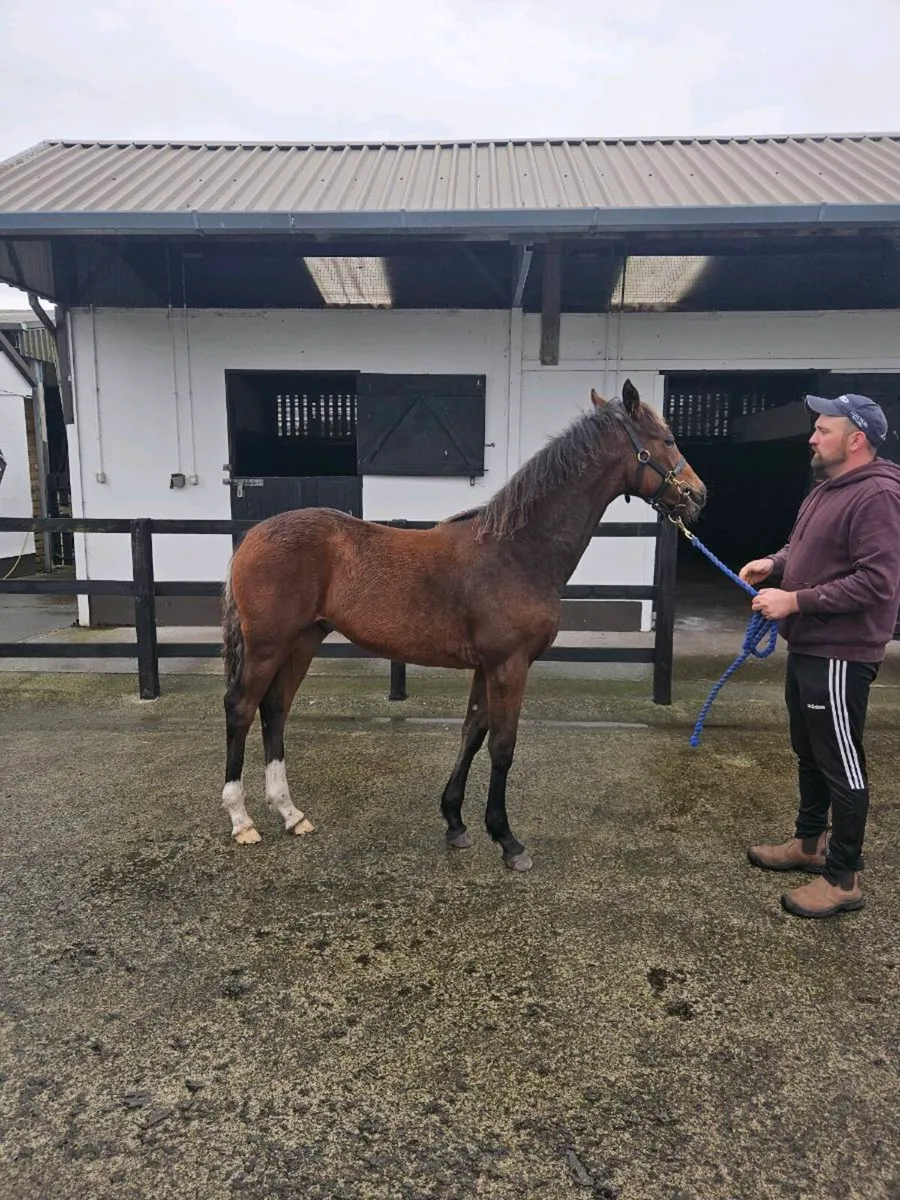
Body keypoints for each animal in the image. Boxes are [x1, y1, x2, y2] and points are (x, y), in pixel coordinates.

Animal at [220, 379, 706, 870]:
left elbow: (472, 733)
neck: (517, 550)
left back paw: (291, 814)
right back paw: (242, 821)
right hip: (267, 646)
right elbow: (503, 746)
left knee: (275, 710)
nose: (698, 495)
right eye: (667, 439)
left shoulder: (486, 667)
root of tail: (252, 536)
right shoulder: (510, 665)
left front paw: (455, 821)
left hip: (301, 642)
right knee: (241, 708)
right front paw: (508, 840)